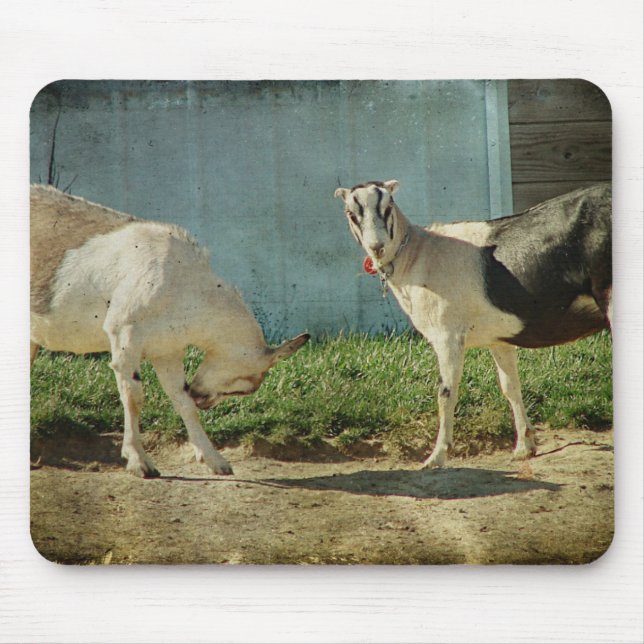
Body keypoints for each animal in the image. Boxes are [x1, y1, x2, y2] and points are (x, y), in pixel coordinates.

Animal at [30, 185, 309, 477]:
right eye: (242, 386)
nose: (204, 399)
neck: (181, 282)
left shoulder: (167, 349)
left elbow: (181, 399)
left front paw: (216, 460)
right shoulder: (125, 335)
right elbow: (134, 397)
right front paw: (139, 462)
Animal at [335, 180, 611, 467]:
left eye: (388, 207)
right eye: (351, 213)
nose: (377, 246)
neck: (417, 255)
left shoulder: (448, 335)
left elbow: (446, 393)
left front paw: (436, 456)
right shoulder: (499, 338)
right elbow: (510, 387)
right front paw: (524, 446)